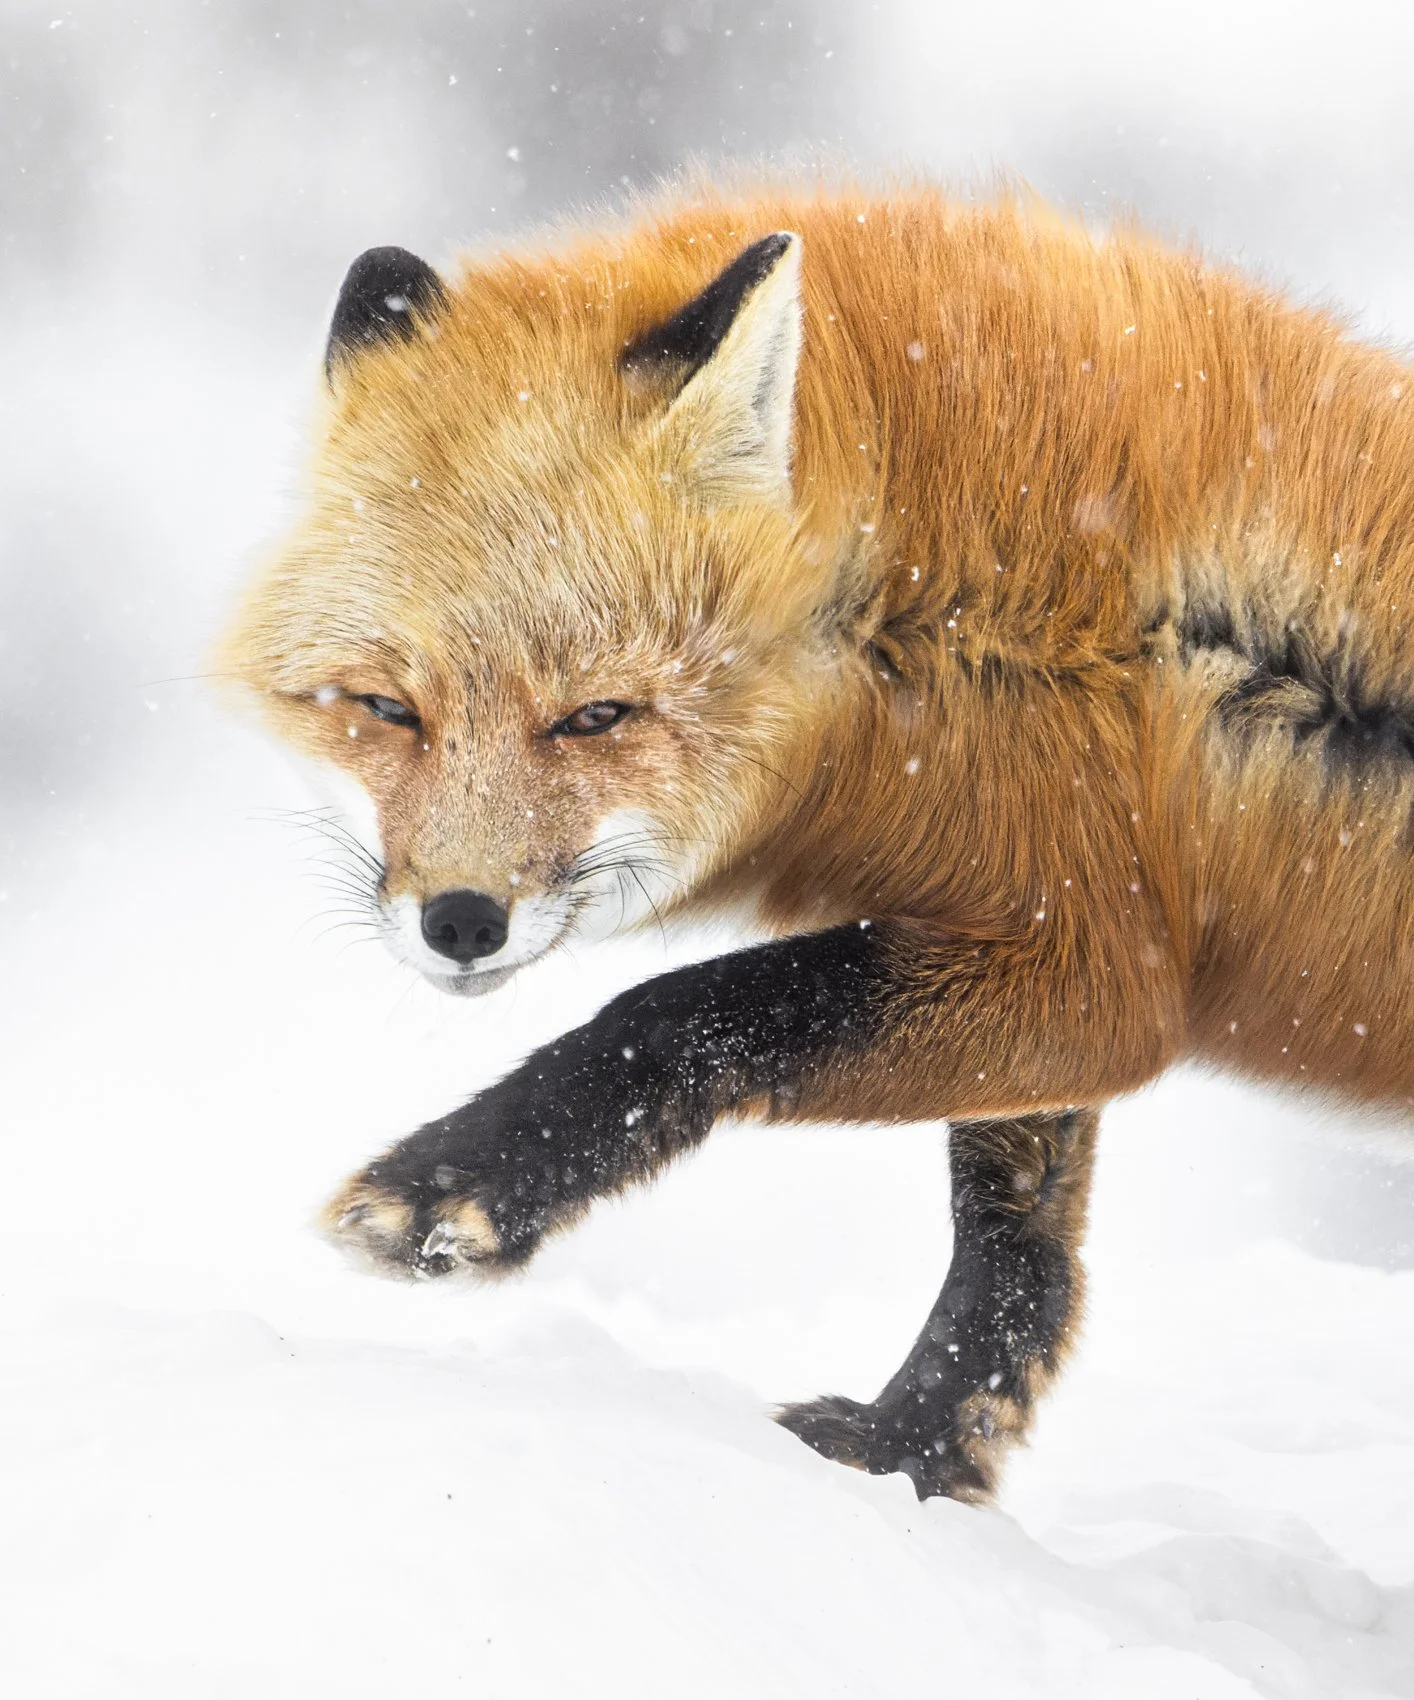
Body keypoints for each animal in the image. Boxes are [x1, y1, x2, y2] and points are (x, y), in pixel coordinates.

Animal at [220, 178, 1414, 1503]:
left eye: (595, 715)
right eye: (388, 709)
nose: (462, 921)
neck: (908, 610)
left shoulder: (1089, 969)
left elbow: (686, 1011)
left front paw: (456, 1183)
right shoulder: (1070, 921)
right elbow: (1015, 1247)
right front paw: (916, 1450)